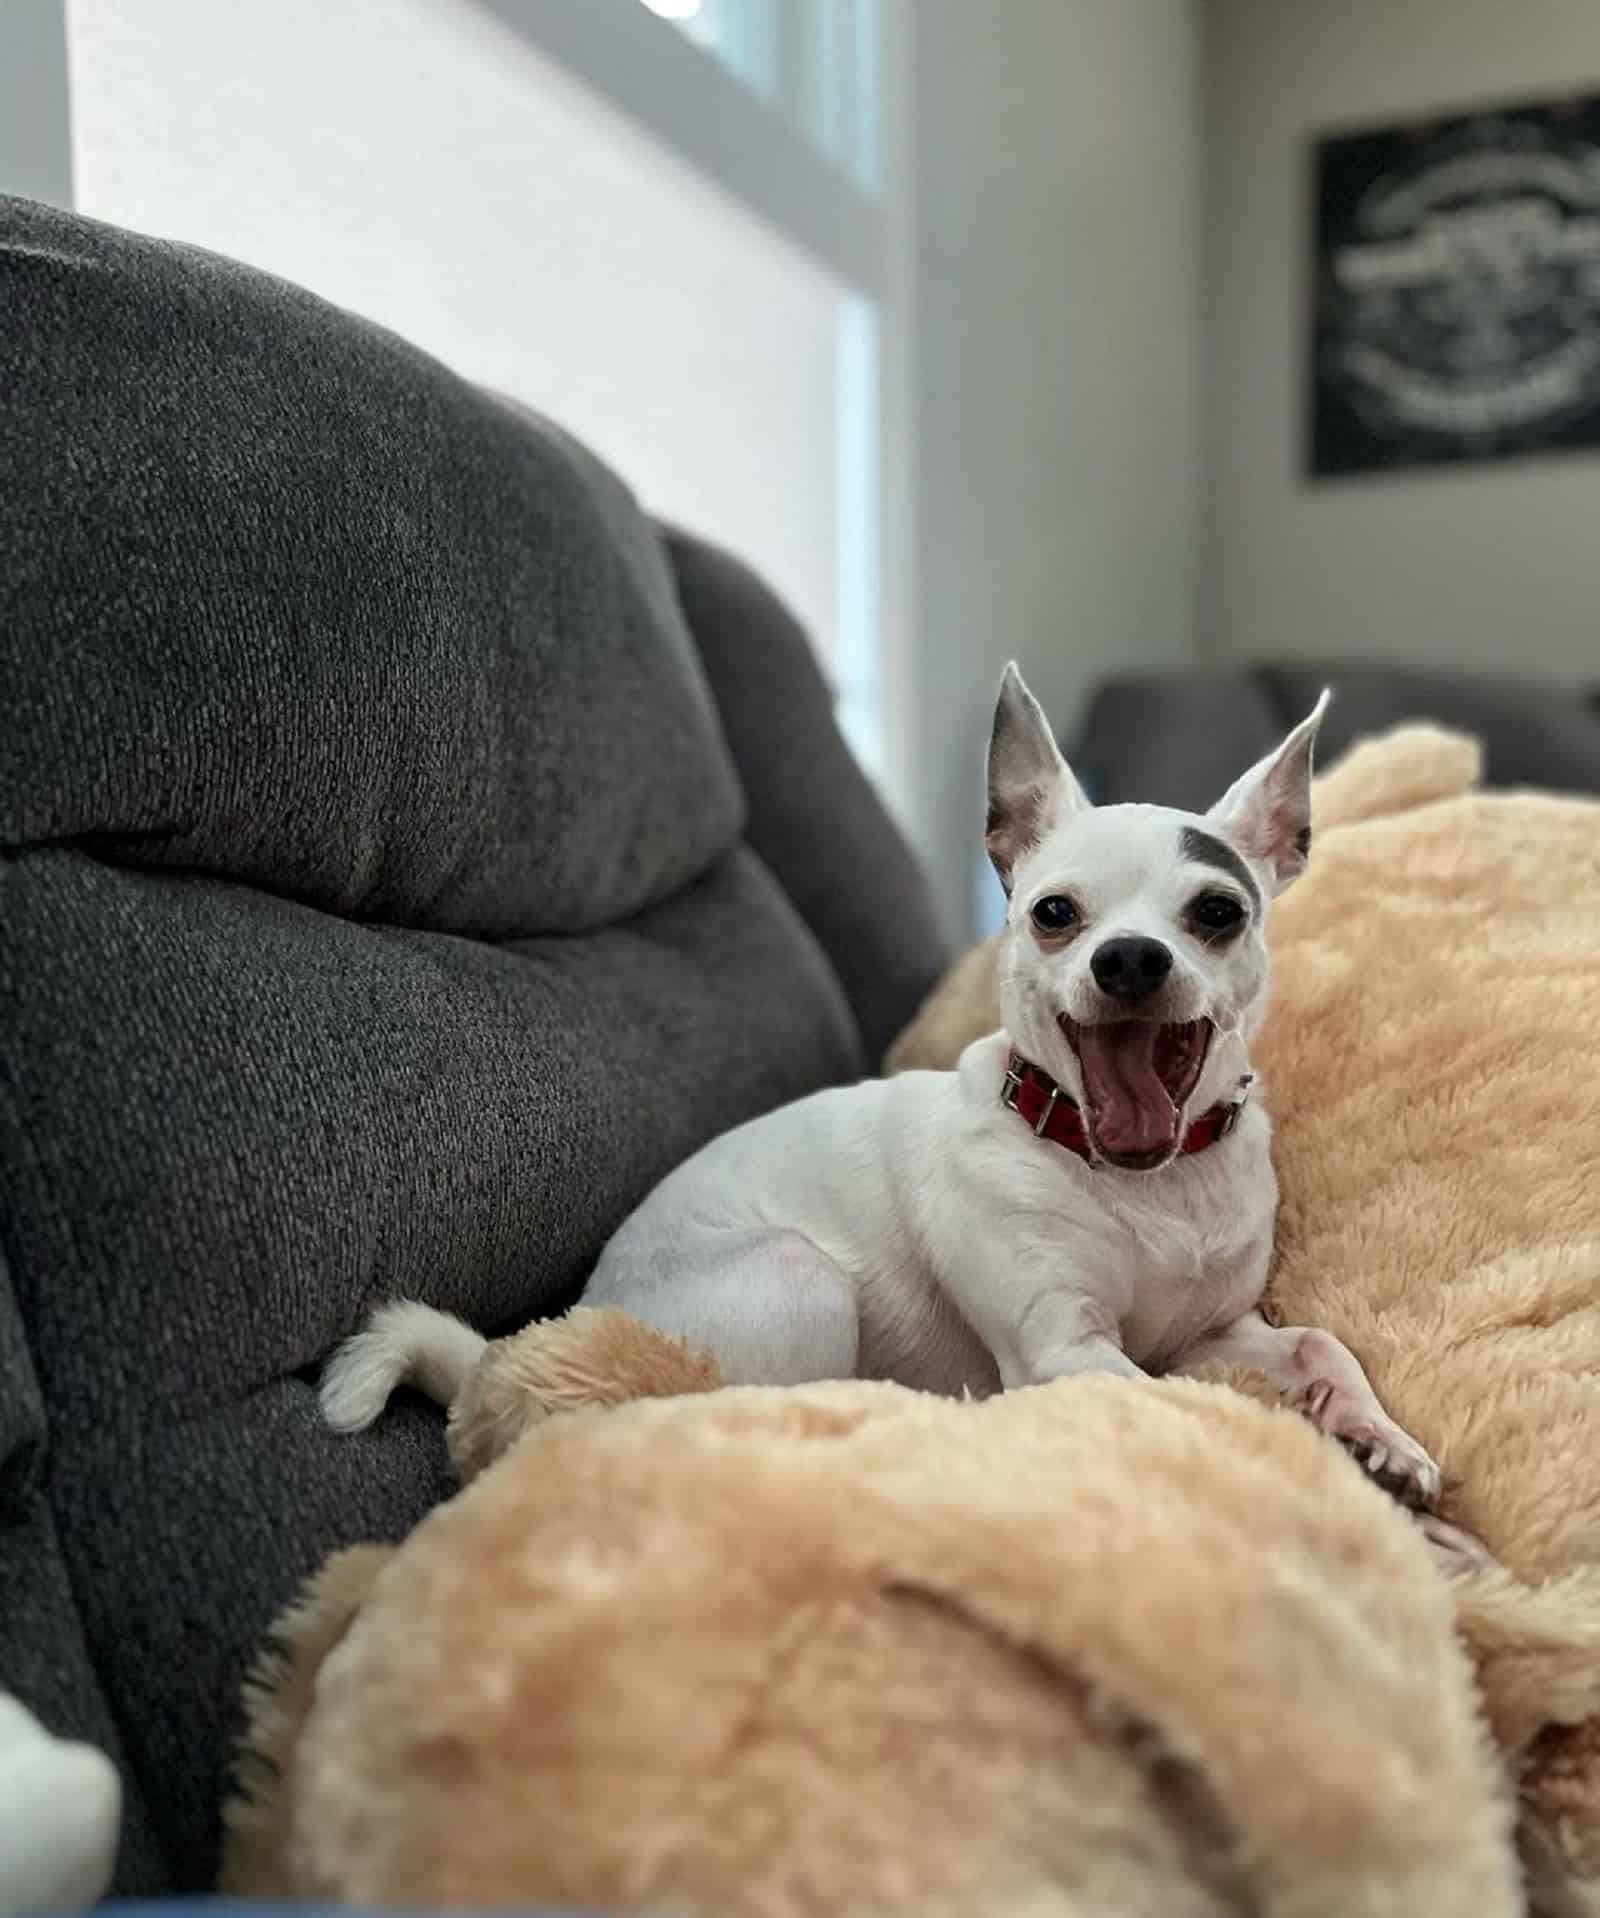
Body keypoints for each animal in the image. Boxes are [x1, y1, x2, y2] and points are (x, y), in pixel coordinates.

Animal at [329, 667, 1450, 1534]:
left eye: (1218, 912)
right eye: (1053, 914)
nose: (1129, 957)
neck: (1145, 1182)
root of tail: (537, 1345)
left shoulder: (1209, 1334)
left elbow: (1318, 1343)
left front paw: (1380, 1435)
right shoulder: (1068, 1353)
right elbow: (1208, 1413)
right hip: (799, 1278)